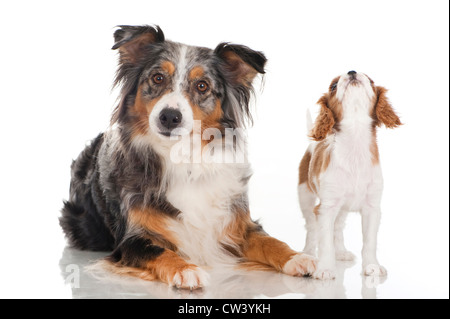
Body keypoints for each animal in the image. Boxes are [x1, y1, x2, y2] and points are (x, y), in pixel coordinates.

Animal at [298, 72, 400, 280]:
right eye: (333, 86)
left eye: (371, 81)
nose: (352, 72)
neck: (355, 142)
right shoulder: (325, 208)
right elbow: (325, 241)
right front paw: (325, 269)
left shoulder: (372, 209)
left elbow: (369, 242)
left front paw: (372, 266)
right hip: (305, 196)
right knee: (311, 228)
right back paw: (308, 253)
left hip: (342, 209)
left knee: (337, 228)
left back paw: (341, 252)